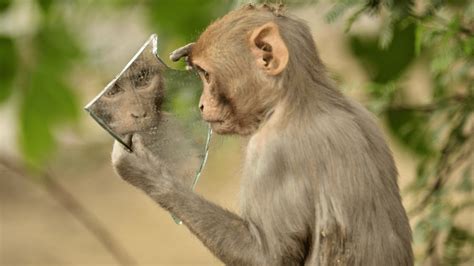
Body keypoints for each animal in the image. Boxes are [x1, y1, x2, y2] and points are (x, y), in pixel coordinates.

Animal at [111, 4, 412, 266]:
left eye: (207, 76)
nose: (201, 104)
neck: (298, 99)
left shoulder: (270, 152)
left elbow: (268, 257)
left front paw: (146, 170)